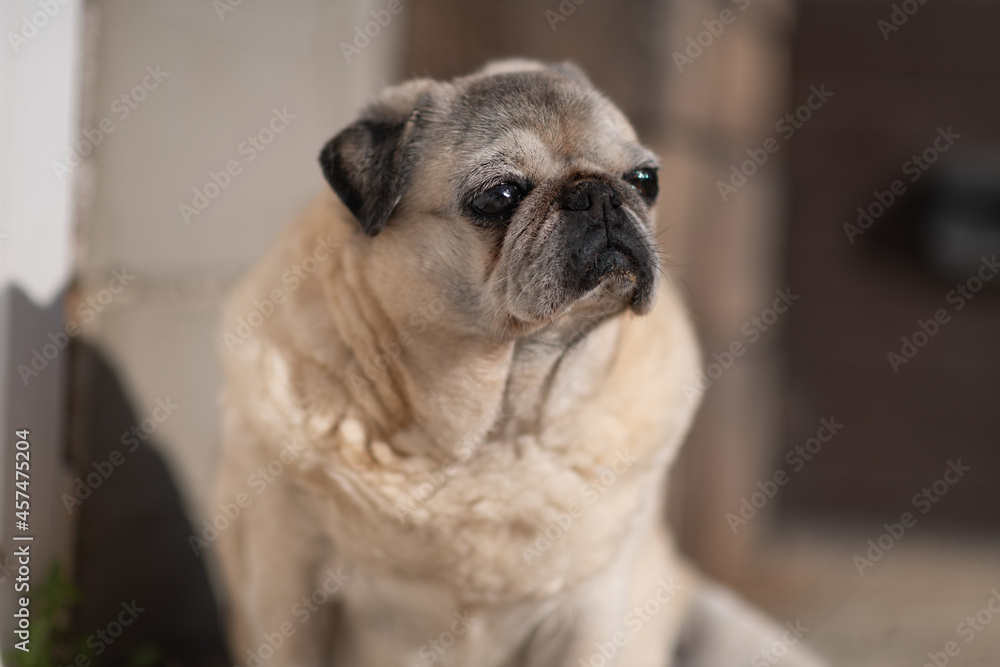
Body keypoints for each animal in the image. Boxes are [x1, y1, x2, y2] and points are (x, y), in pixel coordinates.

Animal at [215, 58, 824, 667]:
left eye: (645, 180)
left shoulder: (588, 608)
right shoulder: (287, 584)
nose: (598, 194)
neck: (494, 428)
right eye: (499, 195)